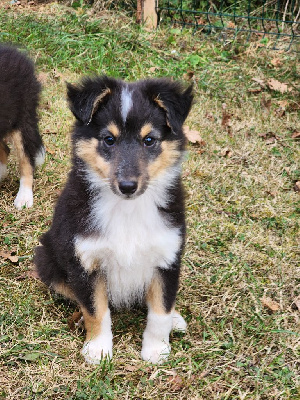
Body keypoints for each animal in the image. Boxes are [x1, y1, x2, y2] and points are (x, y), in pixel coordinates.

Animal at [34, 76, 193, 366]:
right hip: (48, 259)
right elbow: (96, 308)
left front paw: (156, 349)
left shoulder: (168, 256)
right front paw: (98, 349)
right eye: (109, 139)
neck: (128, 209)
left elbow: (160, 308)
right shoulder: (85, 260)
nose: (128, 186)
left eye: (149, 140)